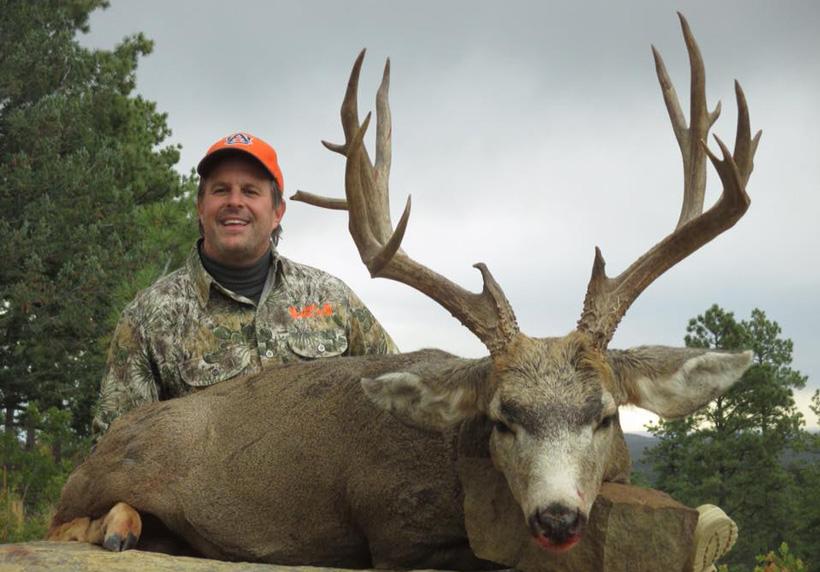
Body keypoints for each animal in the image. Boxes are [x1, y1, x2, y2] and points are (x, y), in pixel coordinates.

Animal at [48, 14, 759, 569]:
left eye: (606, 415)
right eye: (502, 417)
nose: (557, 518)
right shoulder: (394, 530)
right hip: (105, 465)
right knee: (63, 517)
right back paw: (118, 528)